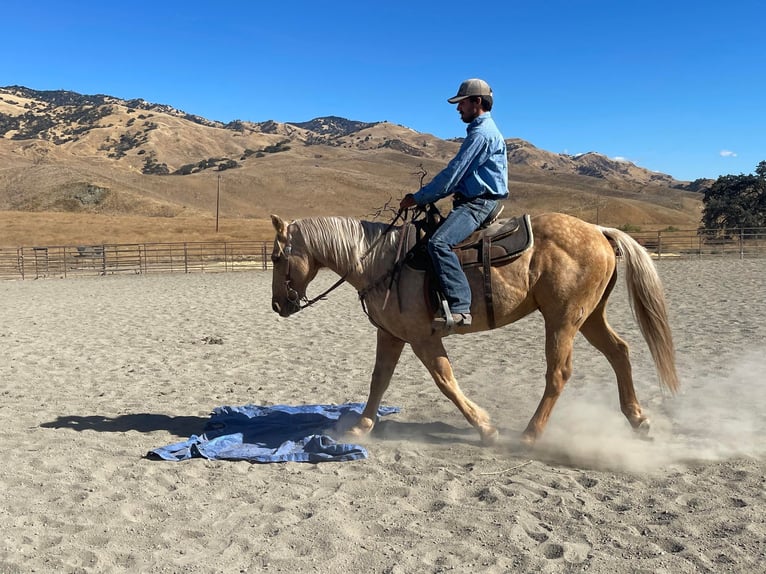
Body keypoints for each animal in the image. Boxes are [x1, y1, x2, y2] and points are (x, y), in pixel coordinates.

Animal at [270, 214, 680, 448]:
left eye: (276, 257)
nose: (277, 305)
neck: (381, 261)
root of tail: (598, 230)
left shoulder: (423, 338)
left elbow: (445, 381)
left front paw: (486, 428)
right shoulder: (391, 335)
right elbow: (378, 381)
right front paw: (360, 428)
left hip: (562, 319)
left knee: (559, 373)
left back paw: (530, 435)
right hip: (589, 317)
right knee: (620, 352)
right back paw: (638, 420)